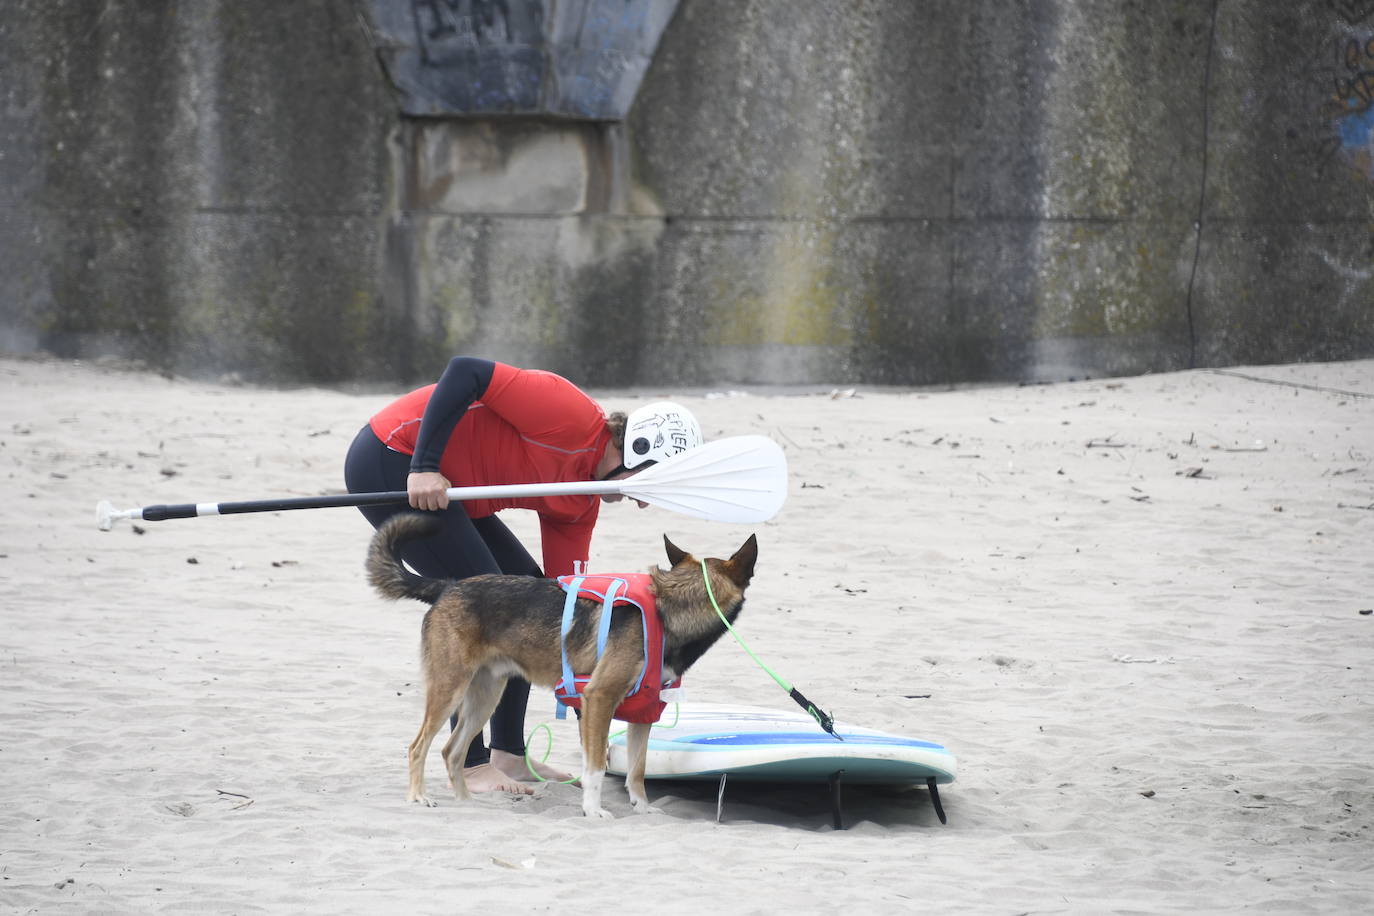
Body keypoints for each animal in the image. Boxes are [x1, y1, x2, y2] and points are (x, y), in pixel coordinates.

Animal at [362, 513, 763, 818]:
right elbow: (596, 768)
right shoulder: (598, 700)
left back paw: (465, 802)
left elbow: (637, 770)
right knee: (418, 746)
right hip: (450, 689)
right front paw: (593, 810)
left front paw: (642, 808)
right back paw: (418, 796)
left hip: (485, 697)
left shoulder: (643, 712)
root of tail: (447, 586)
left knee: (452, 751)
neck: (670, 607)